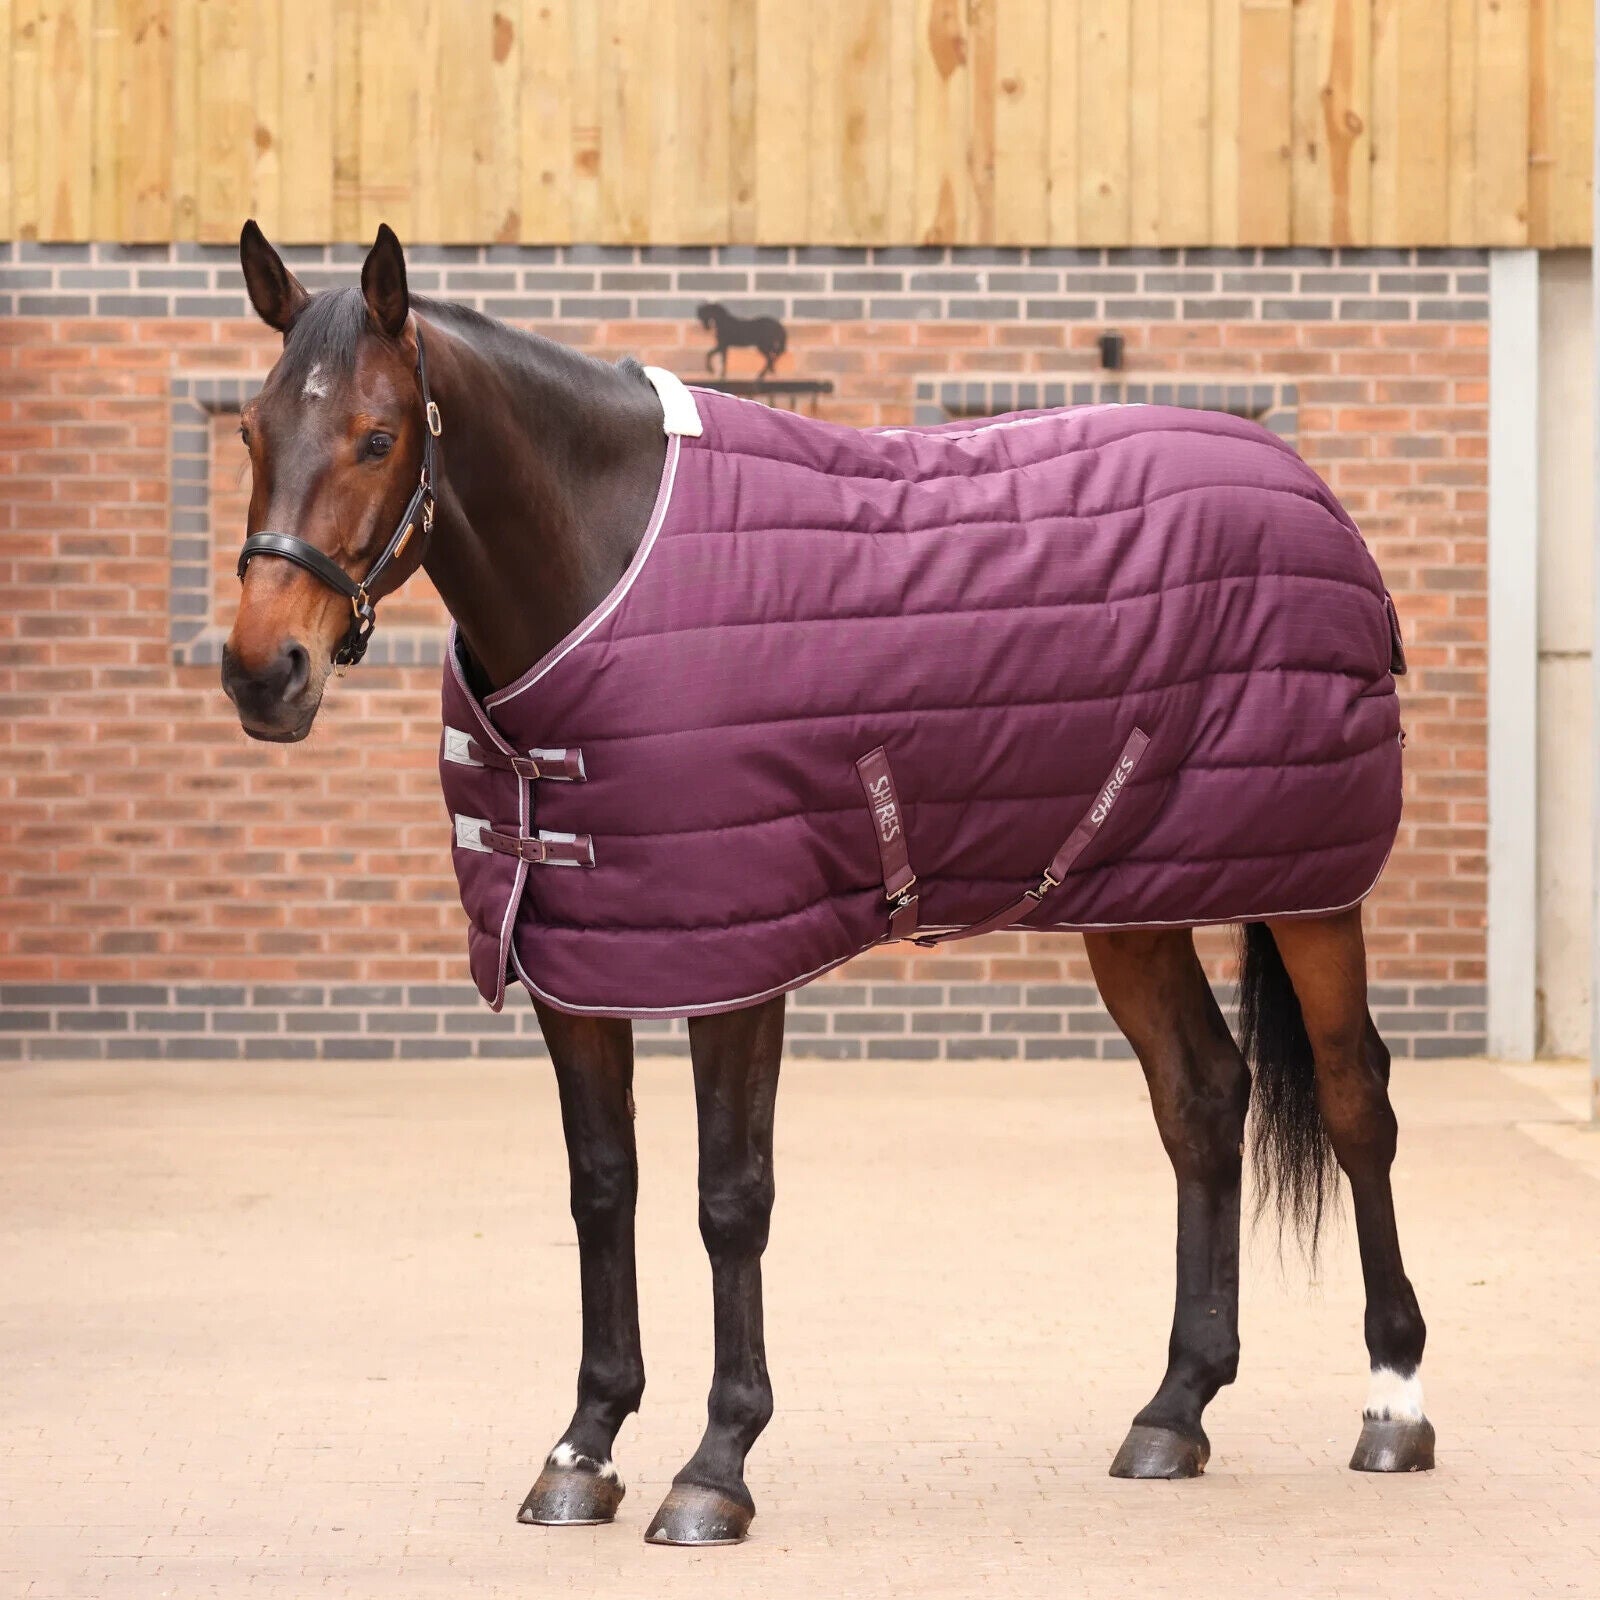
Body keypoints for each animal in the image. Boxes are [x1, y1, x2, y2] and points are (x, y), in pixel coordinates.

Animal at [221, 219, 1434, 1547]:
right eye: (252, 431)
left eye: (378, 436)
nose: (263, 671)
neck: (611, 569)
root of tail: (1310, 494)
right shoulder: (577, 961)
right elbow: (602, 1188)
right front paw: (584, 1447)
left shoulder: (737, 960)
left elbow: (727, 1198)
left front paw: (714, 1466)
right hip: (1130, 901)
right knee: (1204, 1101)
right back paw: (1174, 1410)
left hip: (1312, 892)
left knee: (1354, 1100)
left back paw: (1392, 1403)